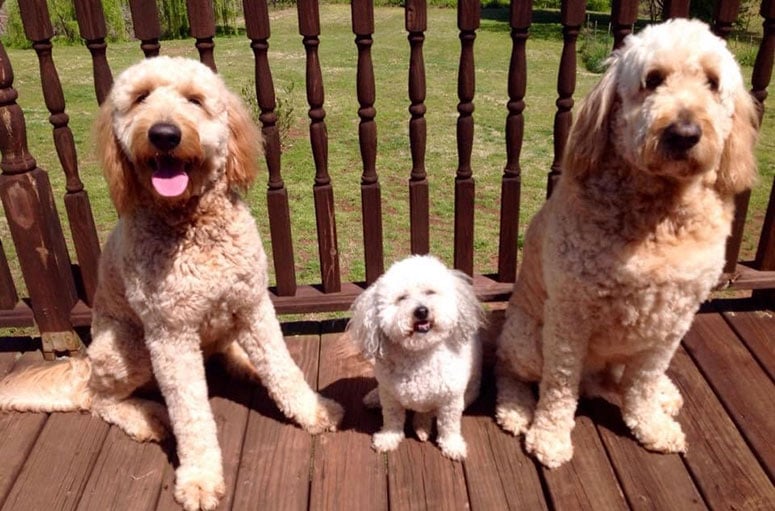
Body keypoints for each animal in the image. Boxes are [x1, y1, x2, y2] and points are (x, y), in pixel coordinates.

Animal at [0, 57, 342, 511]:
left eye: (194, 100)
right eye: (140, 97)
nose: (164, 134)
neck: (192, 224)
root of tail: (86, 362)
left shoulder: (253, 305)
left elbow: (283, 369)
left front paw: (313, 410)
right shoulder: (170, 334)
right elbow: (190, 413)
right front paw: (199, 478)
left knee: (226, 353)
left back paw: (247, 364)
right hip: (127, 348)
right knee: (96, 399)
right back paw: (146, 417)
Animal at [348, 256, 482, 460]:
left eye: (430, 292)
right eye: (402, 298)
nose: (421, 311)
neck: (420, 354)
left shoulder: (450, 400)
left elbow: (448, 425)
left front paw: (452, 446)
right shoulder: (390, 397)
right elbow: (392, 420)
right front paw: (387, 439)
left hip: (469, 393)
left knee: (430, 414)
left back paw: (422, 425)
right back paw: (374, 398)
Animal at [498, 19, 756, 468]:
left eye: (712, 82)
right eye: (652, 80)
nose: (684, 133)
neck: (658, 217)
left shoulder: (674, 319)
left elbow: (643, 384)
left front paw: (651, 425)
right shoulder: (570, 313)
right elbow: (559, 386)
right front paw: (549, 437)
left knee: (625, 379)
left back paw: (663, 394)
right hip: (526, 339)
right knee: (513, 371)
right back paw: (516, 409)